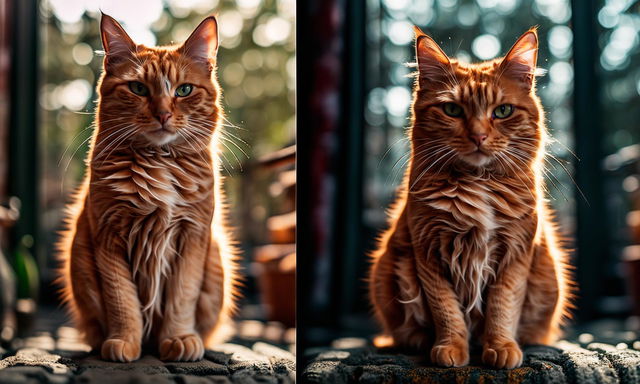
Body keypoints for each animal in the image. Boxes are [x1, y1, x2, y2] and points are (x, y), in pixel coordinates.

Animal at [57, 14, 238, 364]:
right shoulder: (107, 237)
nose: (163, 114)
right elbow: (122, 301)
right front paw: (124, 341)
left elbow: (181, 298)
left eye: (184, 90)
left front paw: (179, 338)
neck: (159, 162)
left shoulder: (192, 237)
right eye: (138, 88)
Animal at [368, 27, 572, 368]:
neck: (476, 184)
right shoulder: (428, 253)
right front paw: (451, 348)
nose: (478, 136)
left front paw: (501, 346)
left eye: (502, 111)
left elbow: (502, 307)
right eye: (452, 110)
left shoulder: (516, 253)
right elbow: (446, 310)